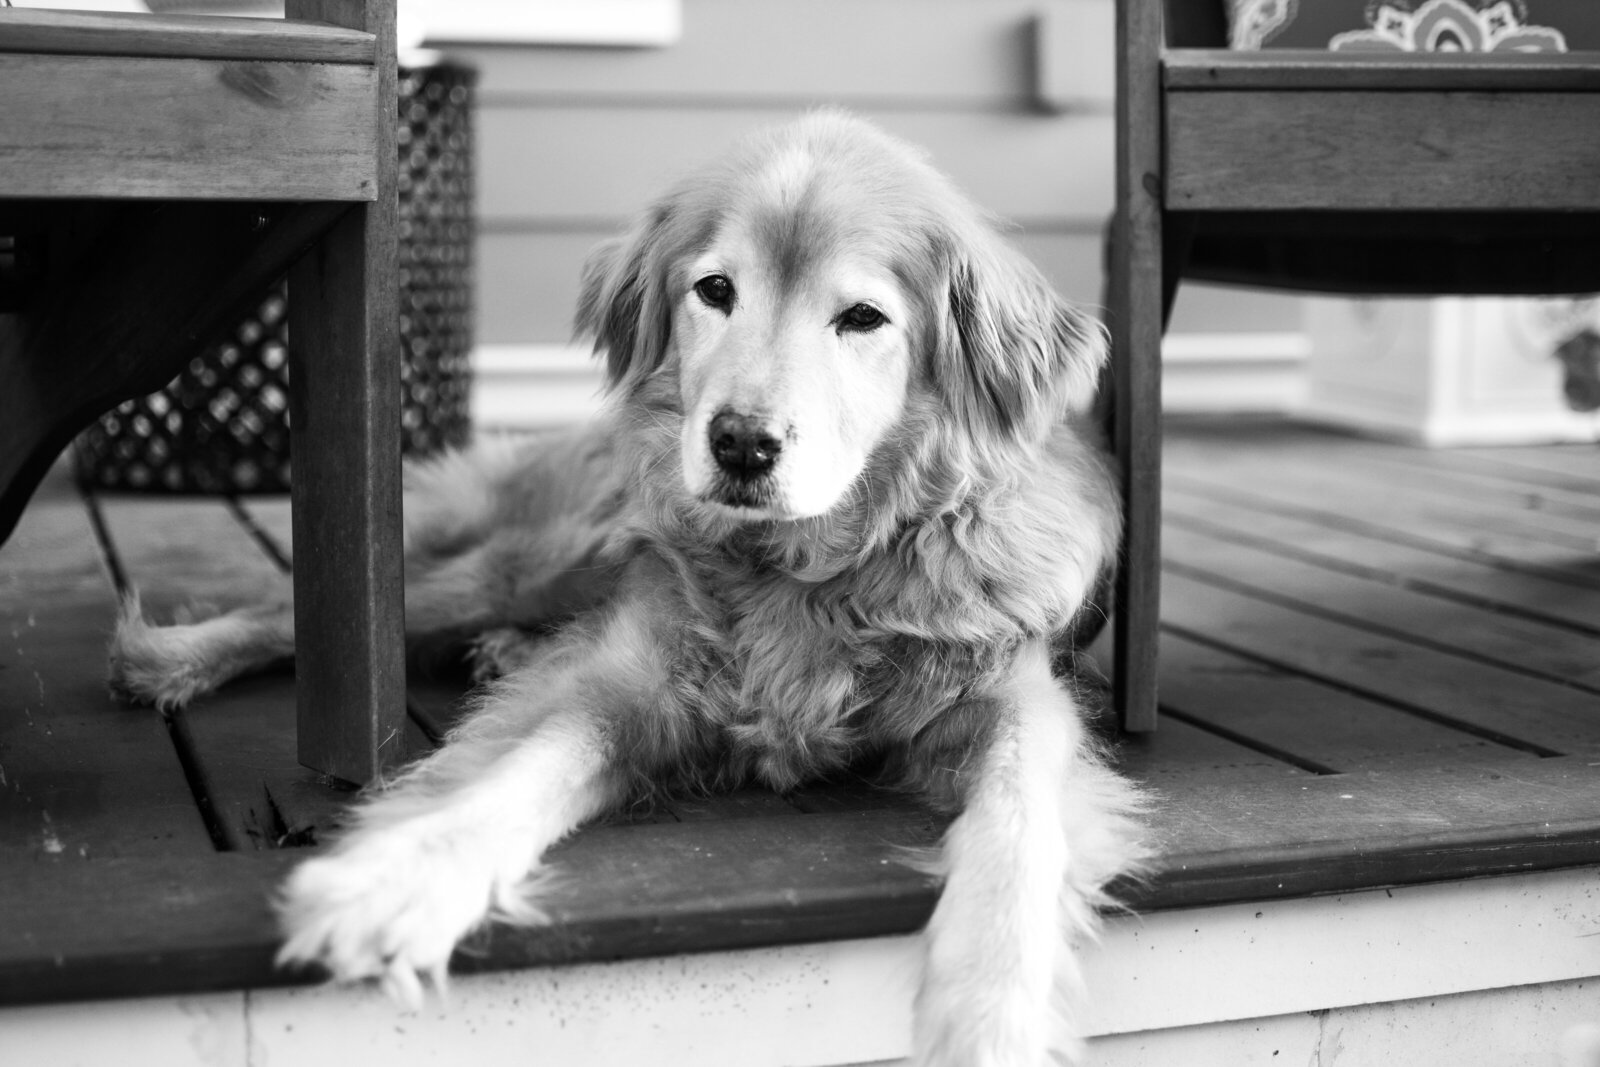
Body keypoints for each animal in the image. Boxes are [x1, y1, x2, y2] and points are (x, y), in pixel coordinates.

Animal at [109, 112, 1139, 1062]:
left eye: (863, 319)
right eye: (716, 291)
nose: (740, 443)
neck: (803, 573)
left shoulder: (1012, 694)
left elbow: (1018, 824)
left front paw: (990, 1016)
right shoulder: (629, 686)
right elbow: (514, 773)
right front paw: (395, 879)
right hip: (543, 557)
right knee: (325, 610)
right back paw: (170, 657)